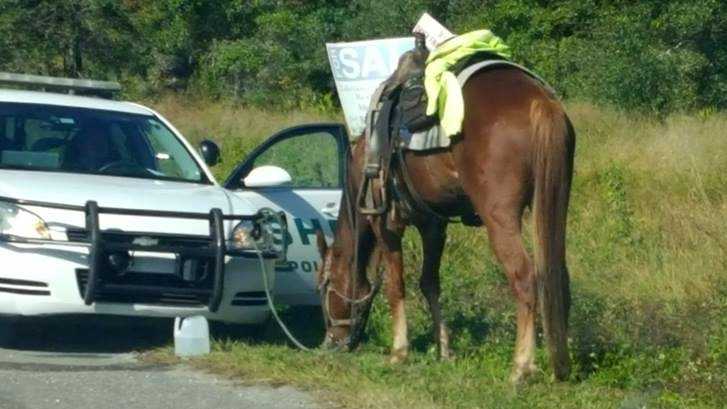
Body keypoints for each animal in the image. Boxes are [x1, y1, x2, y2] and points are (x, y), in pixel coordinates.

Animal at [315, 66, 575, 383]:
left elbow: (396, 286)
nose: (329, 342)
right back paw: (559, 364)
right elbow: (430, 283)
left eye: (324, 286)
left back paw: (521, 366)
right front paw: (445, 350)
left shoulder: (385, 224)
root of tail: (540, 101)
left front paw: (399, 351)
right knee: (557, 276)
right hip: (552, 205)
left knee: (525, 278)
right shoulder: (433, 225)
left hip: (500, 219)